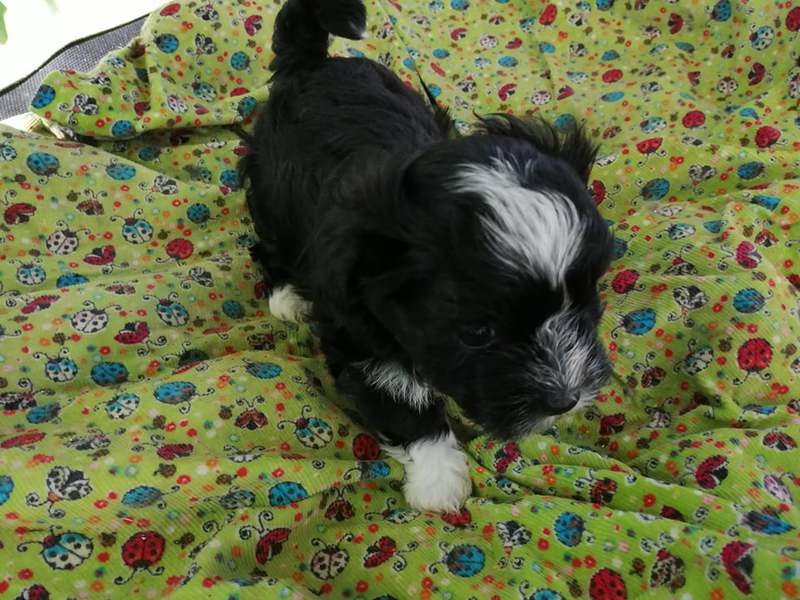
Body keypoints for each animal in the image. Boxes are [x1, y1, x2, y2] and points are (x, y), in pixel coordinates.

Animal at [240, 0, 614, 512]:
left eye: (586, 301)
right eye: (478, 332)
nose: (565, 400)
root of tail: (311, 63)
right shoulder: (360, 334)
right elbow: (401, 396)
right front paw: (439, 483)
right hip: (272, 190)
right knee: (269, 241)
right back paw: (285, 297)